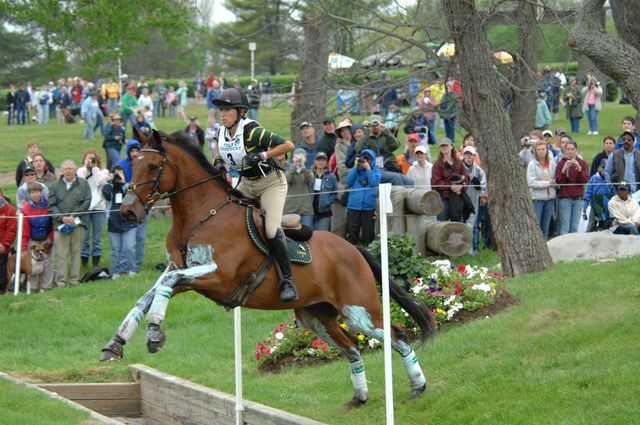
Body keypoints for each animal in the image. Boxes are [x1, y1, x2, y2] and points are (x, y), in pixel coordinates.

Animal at [100, 127, 438, 406]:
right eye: (134, 164)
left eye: (152, 167)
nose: (128, 212)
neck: (201, 215)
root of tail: (352, 248)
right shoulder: (181, 272)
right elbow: (151, 293)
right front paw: (116, 343)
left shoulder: (217, 278)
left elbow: (165, 287)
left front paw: (154, 333)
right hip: (317, 316)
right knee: (352, 347)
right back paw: (360, 397)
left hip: (359, 310)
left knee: (396, 338)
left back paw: (418, 388)